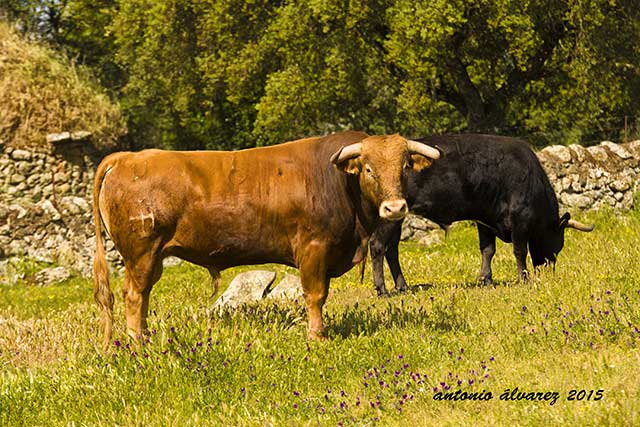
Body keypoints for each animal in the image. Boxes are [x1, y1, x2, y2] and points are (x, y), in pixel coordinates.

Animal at [91, 131, 440, 352]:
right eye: (368, 169)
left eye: (405, 166)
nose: (394, 208)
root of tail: (128, 158)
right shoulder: (313, 249)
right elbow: (316, 295)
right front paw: (317, 336)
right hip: (141, 253)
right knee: (134, 295)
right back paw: (138, 344)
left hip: (151, 258)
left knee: (143, 295)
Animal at [370, 135, 596, 296]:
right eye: (558, 244)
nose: (548, 270)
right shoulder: (520, 220)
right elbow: (519, 251)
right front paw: (523, 278)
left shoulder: (485, 220)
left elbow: (488, 250)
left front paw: (485, 279)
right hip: (389, 217)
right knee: (378, 246)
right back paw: (382, 289)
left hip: (397, 218)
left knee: (392, 250)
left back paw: (402, 287)